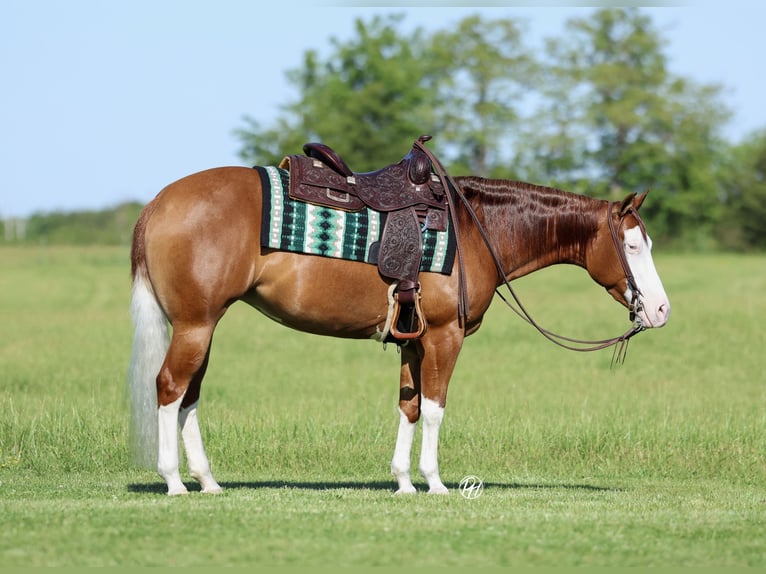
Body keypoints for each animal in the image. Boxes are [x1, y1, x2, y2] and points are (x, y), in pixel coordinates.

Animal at [128, 157, 670, 496]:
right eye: (634, 246)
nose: (662, 311)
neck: (475, 231)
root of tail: (158, 203)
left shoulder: (414, 340)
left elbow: (409, 407)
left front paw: (404, 481)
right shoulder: (444, 337)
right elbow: (434, 409)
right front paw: (435, 482)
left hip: (203, 326)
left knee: (189, 396)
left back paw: (207, 481)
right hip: (195, 325)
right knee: (170, 388)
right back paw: (173, 480)